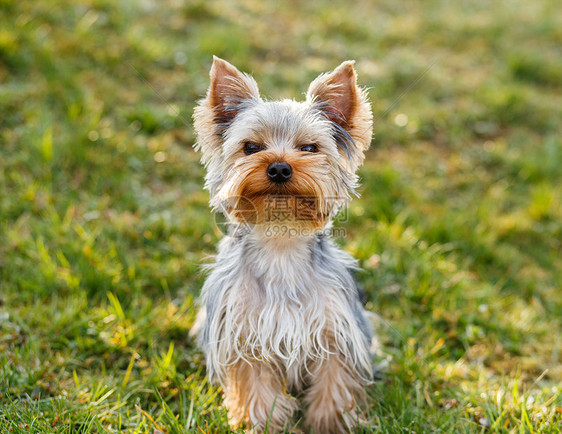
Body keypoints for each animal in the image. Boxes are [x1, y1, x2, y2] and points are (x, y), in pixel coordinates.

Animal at [191, 56, 372, 432]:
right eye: (250, 147)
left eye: (309, 148)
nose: (278, 168)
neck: (281, 242)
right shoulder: (244, 334)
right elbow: (257, 392)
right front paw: (262, 424)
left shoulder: (334, 330)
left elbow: (334, 383)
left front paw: (331, 424)